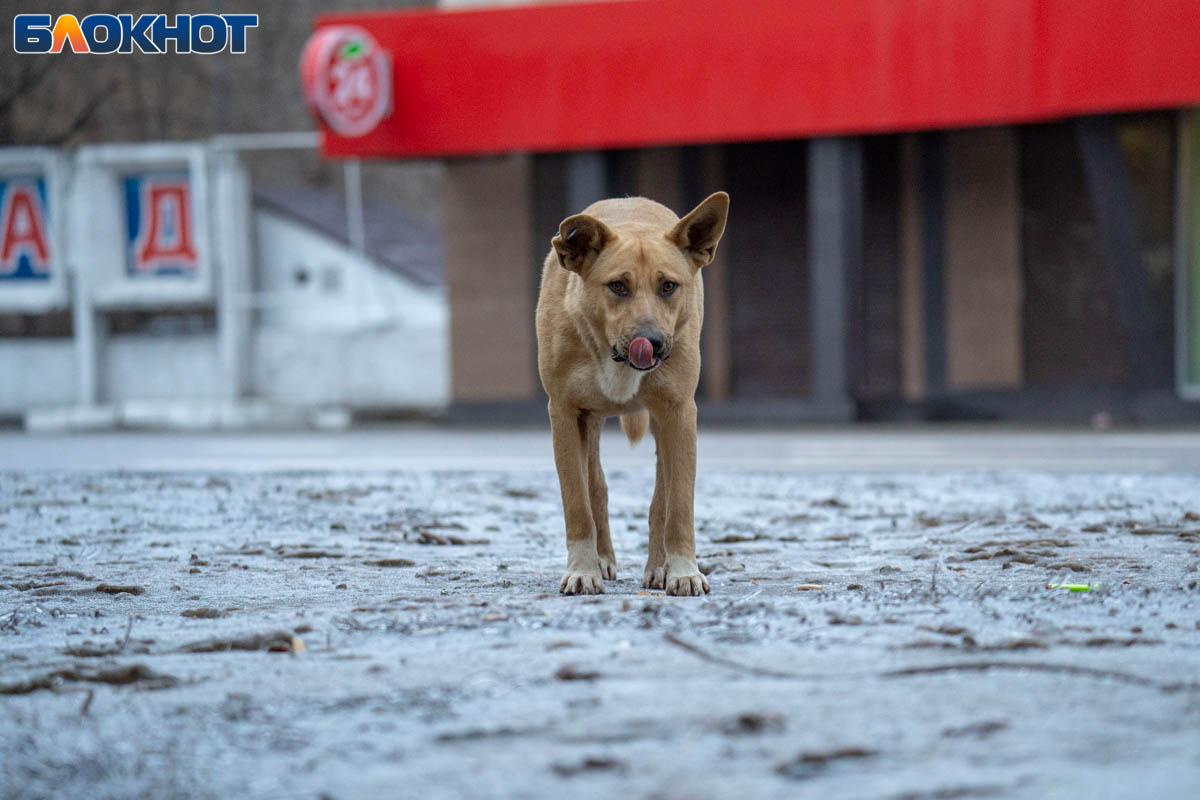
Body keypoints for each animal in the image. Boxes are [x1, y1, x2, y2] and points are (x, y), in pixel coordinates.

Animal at [537, 191, 724, 594]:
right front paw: (583, 570)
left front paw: (683, 571)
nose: (650, 342)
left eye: (668, 286)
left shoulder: (679, 413)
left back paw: (658, 566)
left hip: (663, 422)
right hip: (589, 421)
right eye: (617, 286)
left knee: (660, 497)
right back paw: (602, 558)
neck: (615, 356)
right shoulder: (564, 413)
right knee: (596, 485)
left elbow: (677, 505)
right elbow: (578, 504)